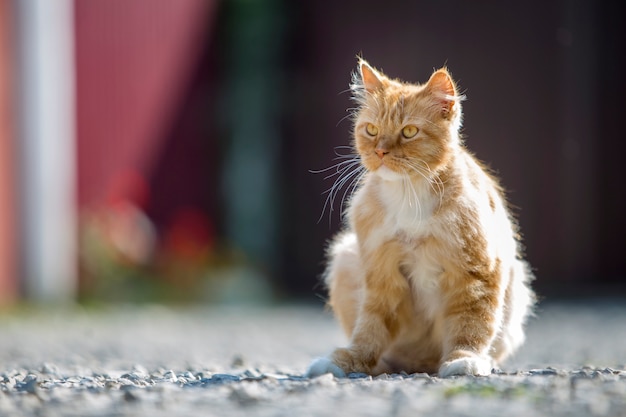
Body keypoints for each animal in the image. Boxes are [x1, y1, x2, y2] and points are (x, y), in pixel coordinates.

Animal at [306, 57, 532, 376]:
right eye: (372, 129)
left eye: (409, 132)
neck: (408, 194)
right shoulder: (381, 273)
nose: (380, 151)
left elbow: (471, 324)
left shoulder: (477, 272)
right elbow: (370, 327)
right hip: (345, 257)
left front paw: (465, 358)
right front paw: (349, 360)